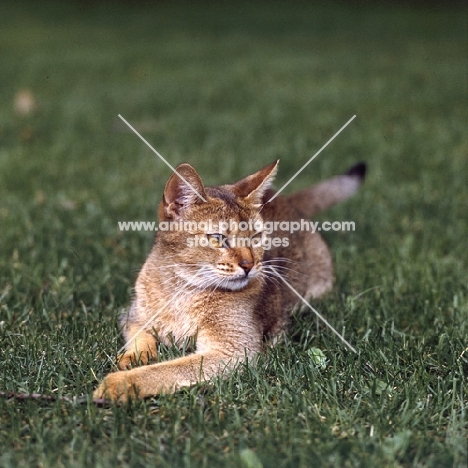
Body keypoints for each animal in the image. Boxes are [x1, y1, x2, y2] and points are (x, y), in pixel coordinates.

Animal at [94, 161, 366, 402]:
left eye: (256, 237)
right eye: (217, 238)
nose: (248, 265)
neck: (183, 289)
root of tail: (284, 199)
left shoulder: (233, 350)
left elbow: (167, 369)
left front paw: (119, 383)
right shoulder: (132, 316)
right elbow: (142, 337)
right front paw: (133, 358)